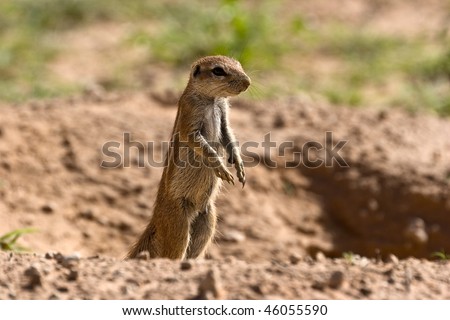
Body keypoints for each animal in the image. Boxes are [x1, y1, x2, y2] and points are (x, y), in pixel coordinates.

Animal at [126, 55, 251, 260]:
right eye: (218, 71)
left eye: (239, 64)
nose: (247, 83)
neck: (212, 100)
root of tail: (155, 220)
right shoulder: (189, 115)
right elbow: (201, 144)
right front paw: (222, 168)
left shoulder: (224, 116)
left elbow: (229, 136)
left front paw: (239, 165)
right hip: (179, 225)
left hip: (208, 220)